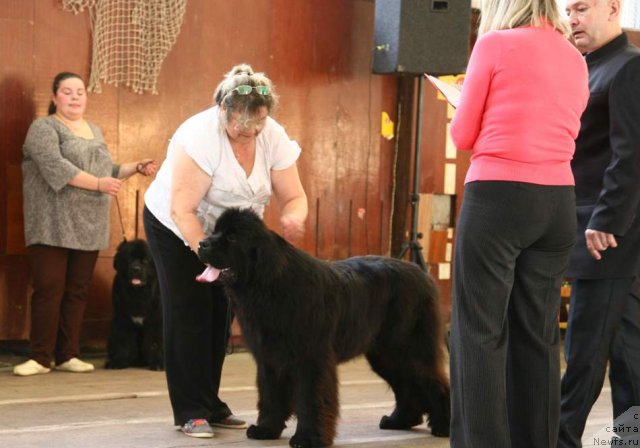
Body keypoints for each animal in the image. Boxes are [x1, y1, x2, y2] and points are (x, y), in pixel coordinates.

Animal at [105, 238, 164, 372]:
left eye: (145, 261)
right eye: (129, 260)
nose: (136, 269)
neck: (138, 294)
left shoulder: (157, 320)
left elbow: (156, 342)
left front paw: (158, 363)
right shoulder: (122, 319)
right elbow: (123, 340)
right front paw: (119, 361)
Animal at [198, 208, 452, 446]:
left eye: (232, 237)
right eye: (215, 231)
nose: (201, 243)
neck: (268, 285)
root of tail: (423, 275)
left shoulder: (311, 359)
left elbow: (311, 399)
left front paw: (308, 438)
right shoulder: (269, 359)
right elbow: (270, 395)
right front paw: (266, 429)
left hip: (408, 349)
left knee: (433, 381)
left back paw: (444, 426)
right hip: (386, 355)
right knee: (407, 386)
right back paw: (398, 420)